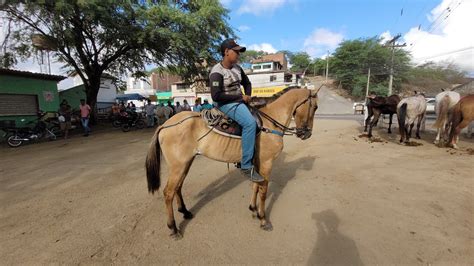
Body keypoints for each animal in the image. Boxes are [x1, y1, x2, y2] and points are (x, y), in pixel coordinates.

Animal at [146, 87, 320, 239]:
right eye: (315, 107)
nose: (307, 134)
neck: (269, 123)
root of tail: (165, 124)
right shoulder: (266, 163)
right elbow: (263, 191)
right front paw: (263, 219)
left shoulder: (256, 164)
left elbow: (255, 186)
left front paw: (253, 209)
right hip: (178, 166)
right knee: (168, 192)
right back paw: (173, 228)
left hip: (185, 163)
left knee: (178, 187)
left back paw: (185, 212)